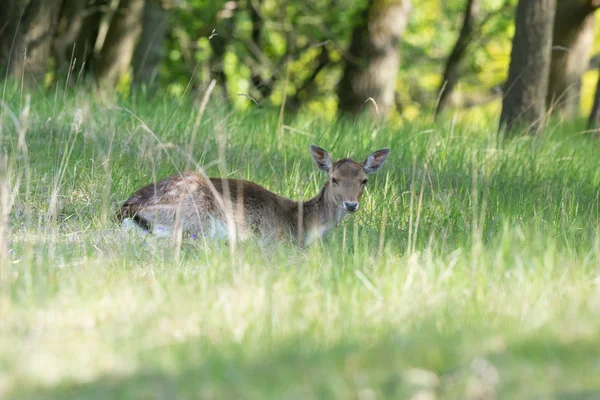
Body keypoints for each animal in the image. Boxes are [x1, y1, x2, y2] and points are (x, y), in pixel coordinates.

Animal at [118, 145, 390, 245]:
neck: (302, 224)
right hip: (195, 216)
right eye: (334, 179)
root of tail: (126, 209)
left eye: (364, 180)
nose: (351, 204)